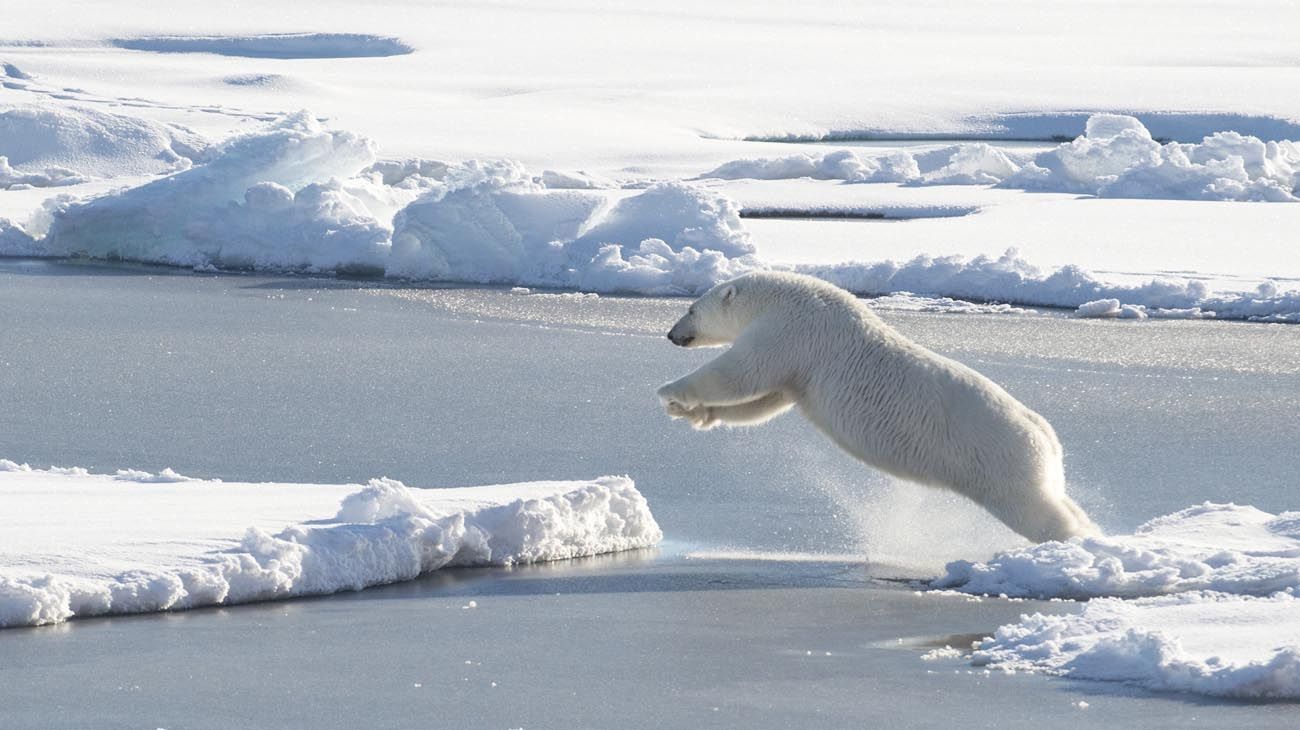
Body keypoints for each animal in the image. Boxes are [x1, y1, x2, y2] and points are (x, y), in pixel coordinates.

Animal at [660, 271, 1097, 540]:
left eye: (691, 309)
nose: (670, 334)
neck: (780, 297)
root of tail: (1045, 435)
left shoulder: (791, 330)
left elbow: (742, 373)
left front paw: (669, 391)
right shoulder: (798, 364)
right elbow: (766, 400)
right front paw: (694, 413)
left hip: (997, 458)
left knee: (1035, 511)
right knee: (1057, 498)